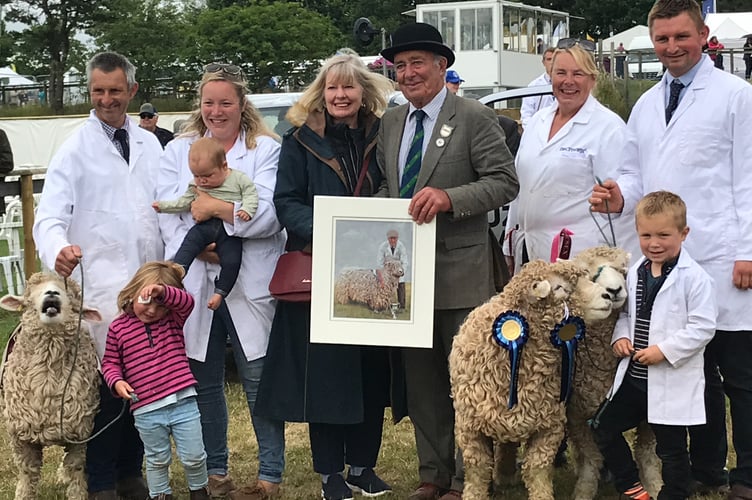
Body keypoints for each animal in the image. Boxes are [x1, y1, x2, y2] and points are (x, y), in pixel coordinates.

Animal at [0, 274, 101, 500]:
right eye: (30, 293)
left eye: (71, 294)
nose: (52, 293)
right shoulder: (21, 437)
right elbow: (27, 472)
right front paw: (22, 495)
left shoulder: (79, 434)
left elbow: (76, 469)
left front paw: (77, 494)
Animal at [450, 260, 612, 498]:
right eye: (560, 288)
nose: (607, 296)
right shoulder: (469, 428)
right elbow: (477, 471)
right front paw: (473, 495)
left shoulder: (549, 426)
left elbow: (537, 470)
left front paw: (542, 495)